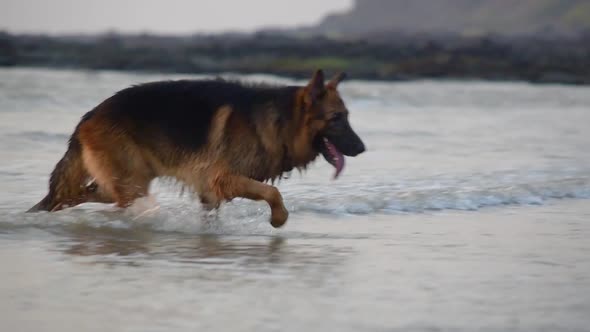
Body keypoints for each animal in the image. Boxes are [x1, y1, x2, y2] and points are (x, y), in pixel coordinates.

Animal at [31, 68, 370, 227]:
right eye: (337, 119)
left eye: (347, 117)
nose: (362, 148)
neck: (280, 120)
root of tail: (88, 116)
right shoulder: (222, 179)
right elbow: (273, 192)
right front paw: (278, 218)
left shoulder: (210, 192)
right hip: (131, 183)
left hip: (120, 183)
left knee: (75, 194)